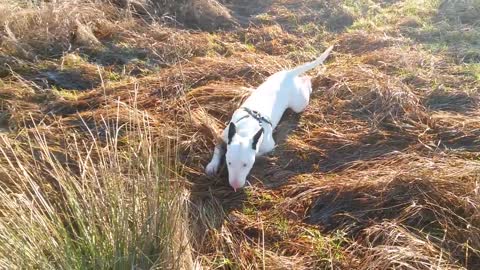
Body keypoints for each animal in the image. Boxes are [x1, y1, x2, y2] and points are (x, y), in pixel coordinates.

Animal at [205, 45, 334, 191]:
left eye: (246, 165)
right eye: (229, 162)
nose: (235, 185)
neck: (246, 128)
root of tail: (289, 74)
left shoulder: (269, 146)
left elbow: (258, 153)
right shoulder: (224, 135)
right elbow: (218, 148)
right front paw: (212, 165)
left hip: (299, 104)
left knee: (306, 82)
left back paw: (310, 80)